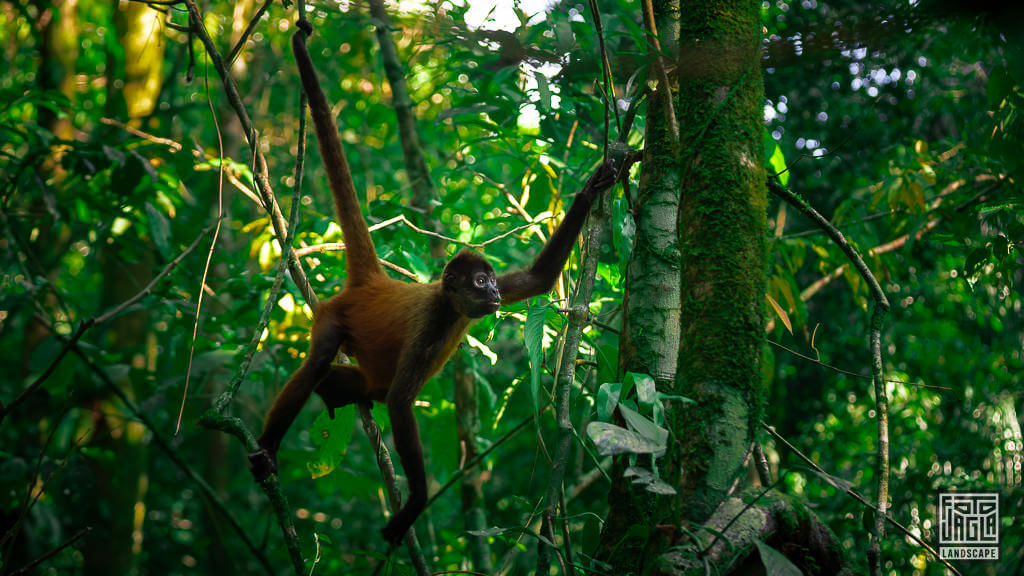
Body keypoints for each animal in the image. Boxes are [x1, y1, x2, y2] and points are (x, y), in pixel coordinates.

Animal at [248, 20, 618, 545]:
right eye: (480, 282)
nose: (495, 293)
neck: (452, 308)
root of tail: (374, 284)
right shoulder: (431, 321)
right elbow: (402, 402)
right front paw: (417, 504)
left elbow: (539, 279)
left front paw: (592, 187)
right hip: (334, 315)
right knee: (325, 365)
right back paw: (268, 447)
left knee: (356, 385)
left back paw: (334, 395)